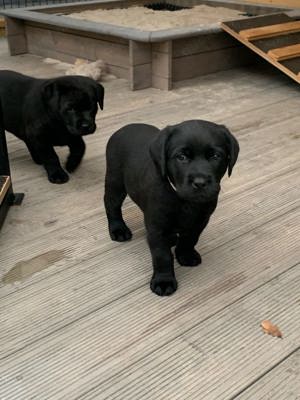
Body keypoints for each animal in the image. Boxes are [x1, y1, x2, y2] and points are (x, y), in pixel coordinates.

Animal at [105, 120, 239, 296]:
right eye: (181, 157)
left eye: (215, 156)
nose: (200, 182)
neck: (185, 201)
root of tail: (125, 127)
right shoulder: (157, 226)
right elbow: (162, 255)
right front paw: (163, 280)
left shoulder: (200, 221)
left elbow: (190, 239)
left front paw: (186, 255)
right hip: (115, 181)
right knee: (111, 205)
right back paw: (118, 229)